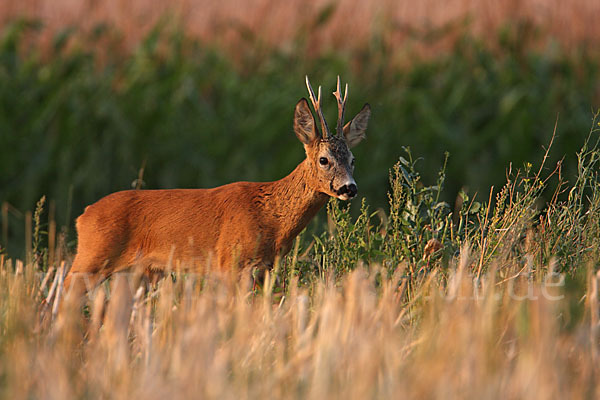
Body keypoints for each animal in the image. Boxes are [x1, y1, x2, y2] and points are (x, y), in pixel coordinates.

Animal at [62, 76, 370, 296]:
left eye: (353, 160)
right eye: (324, 159)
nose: (349, 188)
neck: (271, 217)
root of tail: (83, 216)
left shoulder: (266, 268)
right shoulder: (228, 261)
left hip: (136, 273)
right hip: (92, 257)